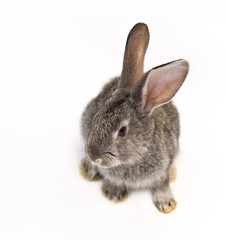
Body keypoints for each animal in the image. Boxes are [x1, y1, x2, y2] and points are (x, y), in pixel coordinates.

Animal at [79, 23, 189, 214]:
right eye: (96, 117)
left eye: (122, 131)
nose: (94, 156)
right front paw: (113, 193)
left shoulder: (165, 165)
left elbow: (163, 182)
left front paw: (166, 203)